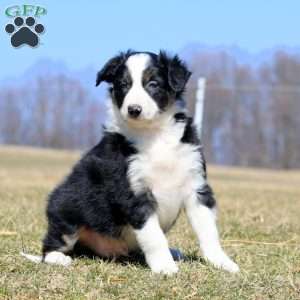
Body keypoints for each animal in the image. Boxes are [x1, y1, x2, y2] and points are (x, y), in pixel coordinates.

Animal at [21, 51, 239, 274]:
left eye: (153, 83)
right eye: (123, 85)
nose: (134, 109)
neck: (154, 134)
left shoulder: (196, 186)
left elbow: (208, 231)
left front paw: (222, 262)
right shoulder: (134, 193)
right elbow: (154, 237)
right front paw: (164, 267)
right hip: (65, 208)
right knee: (51, 245)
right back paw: (58, 258)